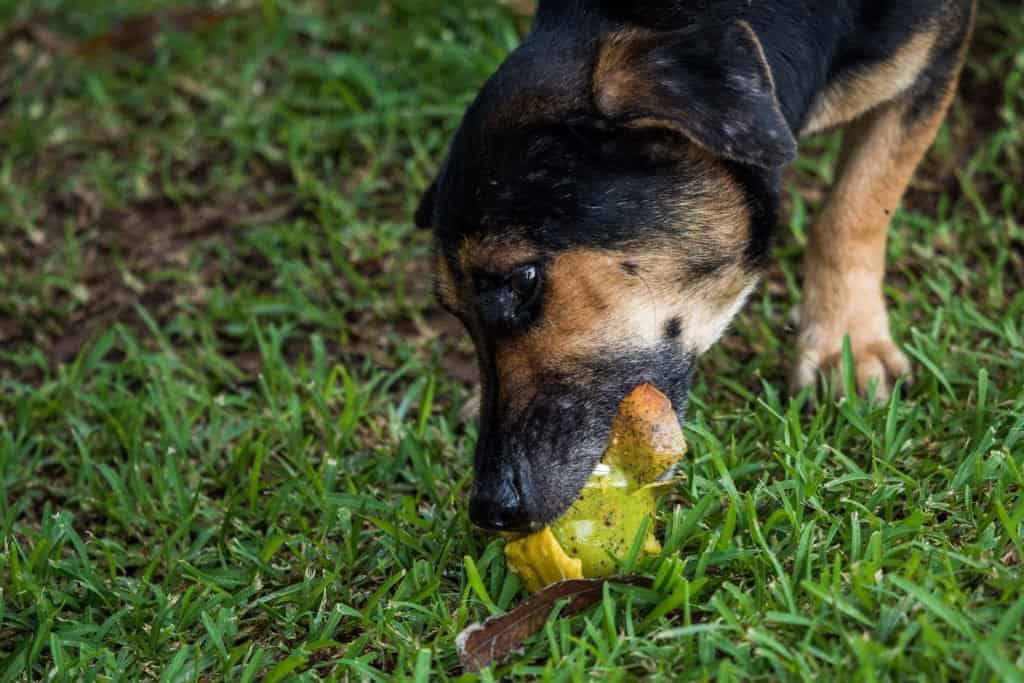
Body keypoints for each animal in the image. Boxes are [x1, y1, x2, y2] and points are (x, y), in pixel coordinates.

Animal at [413, 0, 974, 532]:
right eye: (454, 313)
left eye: (521, 280)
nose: (490, 510)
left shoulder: (933, 56)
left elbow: (856, 206)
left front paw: (845, 343)